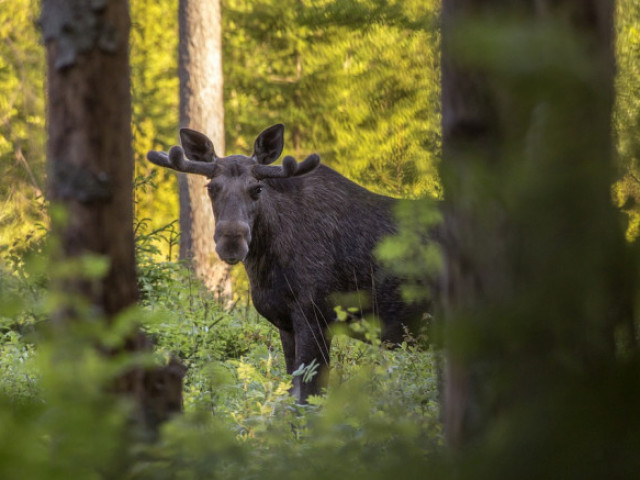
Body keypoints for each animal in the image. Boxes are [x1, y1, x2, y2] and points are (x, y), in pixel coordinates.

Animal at [149, 124, 430, 402]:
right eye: (211, 188)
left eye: (257, 189)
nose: (231, 241)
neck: (266, 267)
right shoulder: (286, 323)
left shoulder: (317, 315)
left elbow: (306, 397)